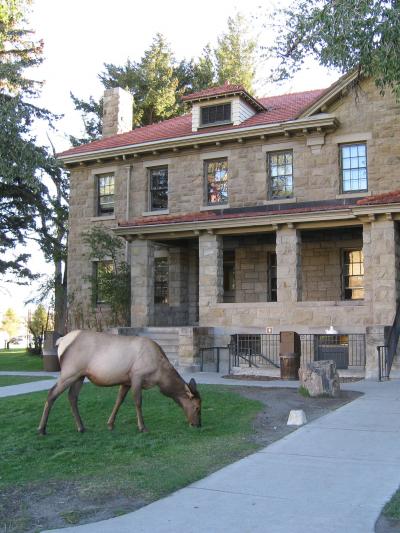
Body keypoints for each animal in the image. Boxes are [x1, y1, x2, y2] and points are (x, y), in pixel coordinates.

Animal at [37, 330, 202, 434]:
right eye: (197, 407)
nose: (198, 425)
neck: (159, 375)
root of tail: (61, 342)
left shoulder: (126, 381)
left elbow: (119, 400)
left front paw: (110, 424)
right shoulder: (137, 375)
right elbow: (138, 402)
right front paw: (142, 427)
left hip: (80, 375)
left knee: (72, 397)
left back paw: (81, 427)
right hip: (69, 371)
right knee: (52, 393)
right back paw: (42, 429)